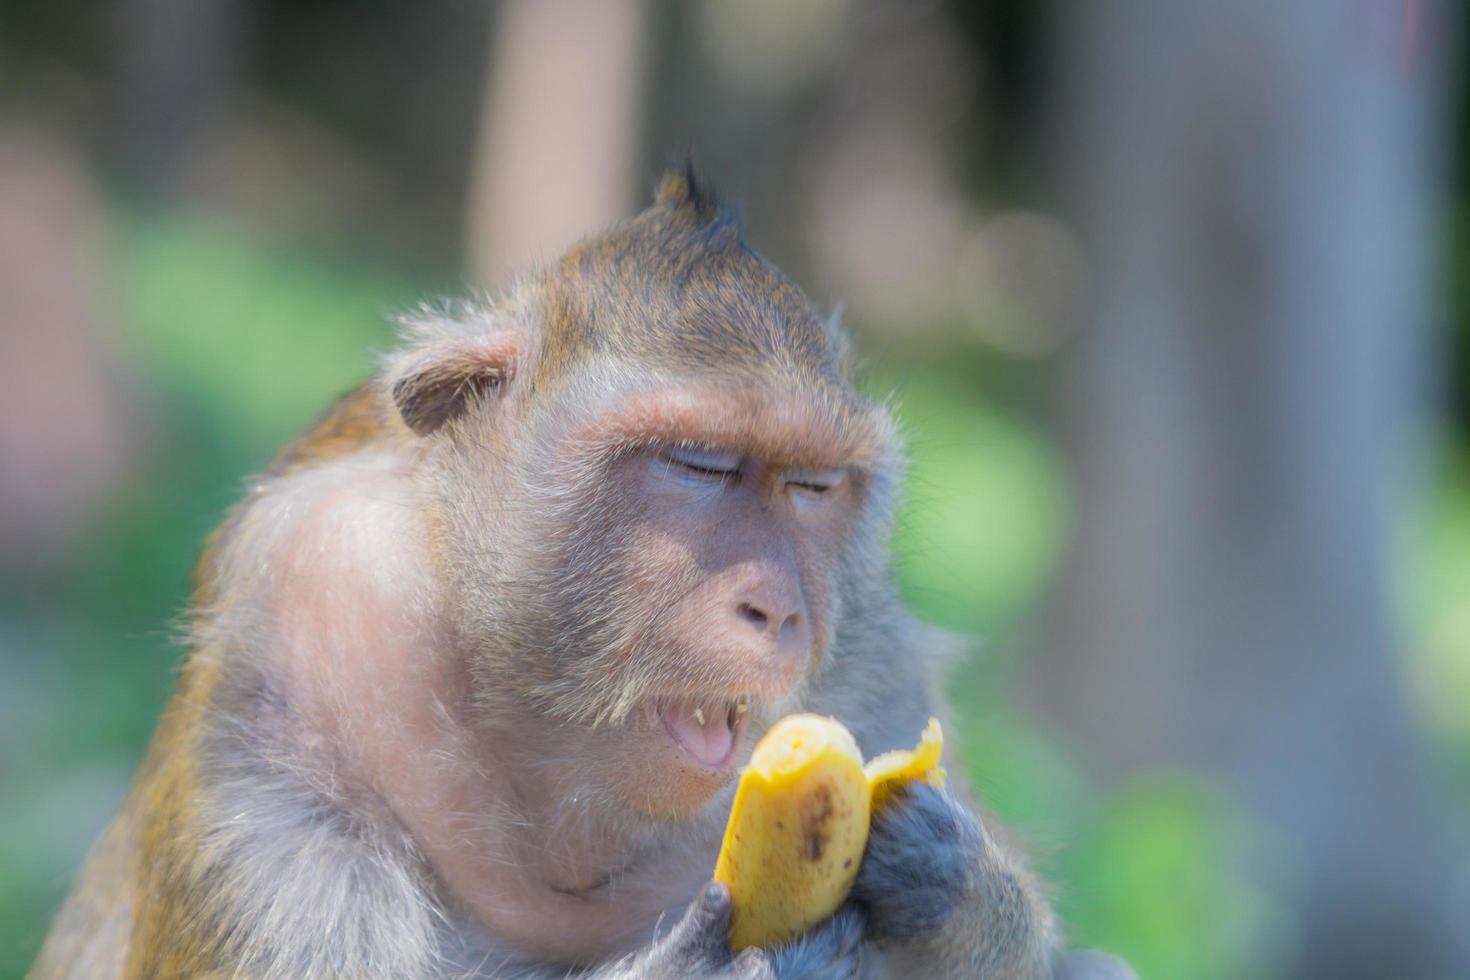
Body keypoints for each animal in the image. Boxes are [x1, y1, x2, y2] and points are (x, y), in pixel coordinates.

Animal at [31, 172, 1134, 975]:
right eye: (698, 465)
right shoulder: (298, 637)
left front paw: (955, 884)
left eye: (815, 487)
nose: (777, 607)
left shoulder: (872, 649)